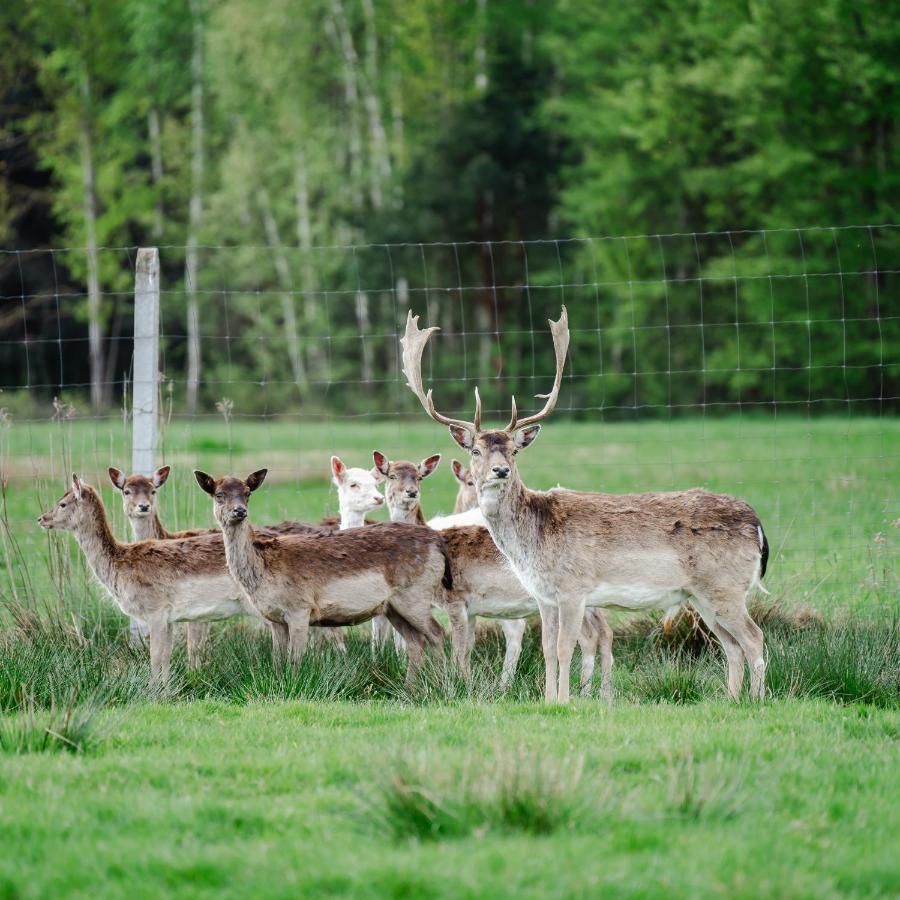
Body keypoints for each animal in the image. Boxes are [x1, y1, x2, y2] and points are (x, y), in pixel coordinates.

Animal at [194, 468, 454, 684]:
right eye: (219, 494)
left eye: (248, 493)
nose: (240, 510)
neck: (263, 571)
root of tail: (437, 542)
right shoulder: (275, 619)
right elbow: (277, 661)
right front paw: (278, 683)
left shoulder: (300, 608)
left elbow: (295, 660)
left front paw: (293, 687)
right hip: (393, 606)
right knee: (415, 641)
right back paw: (411, 687)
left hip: (415, 595)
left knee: (437, 633)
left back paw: (443, 683)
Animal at [404, 308, 768, 704]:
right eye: (475, 450)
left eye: (513, 451)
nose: (500, 470)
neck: (531, 543)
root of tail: (758, 524)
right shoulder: (544, 596)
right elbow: (547, 649)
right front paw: (548, 700)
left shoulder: (574, 588)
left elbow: (566, 648)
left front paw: (565, 701)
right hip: (702, 594)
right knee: (731, 645)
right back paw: (732, 699)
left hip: (725, 586)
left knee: (754, 638)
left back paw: (757, 699)